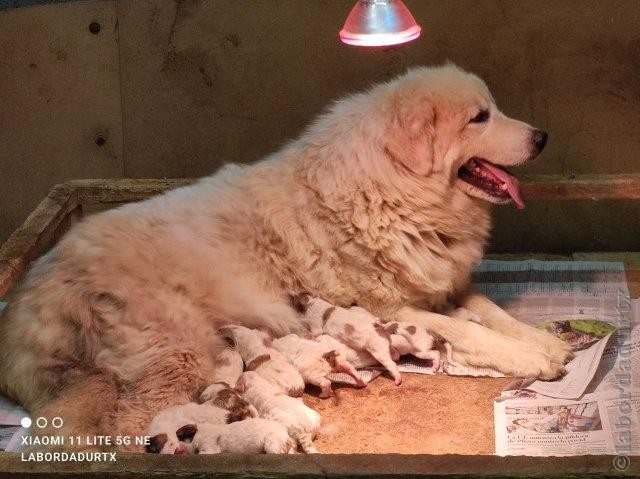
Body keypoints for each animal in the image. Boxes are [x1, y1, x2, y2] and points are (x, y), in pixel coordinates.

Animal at [0, 62, 568, 450]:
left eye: (493, 108)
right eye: (480, 117)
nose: (543, 137)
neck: (391, 189)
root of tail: (36, 292)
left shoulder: (442, 286)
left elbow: (494, 315)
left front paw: (547, 344)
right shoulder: (390, 309)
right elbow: (468, 331)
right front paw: (529, 358)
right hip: (178, 352)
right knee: (128, 425)